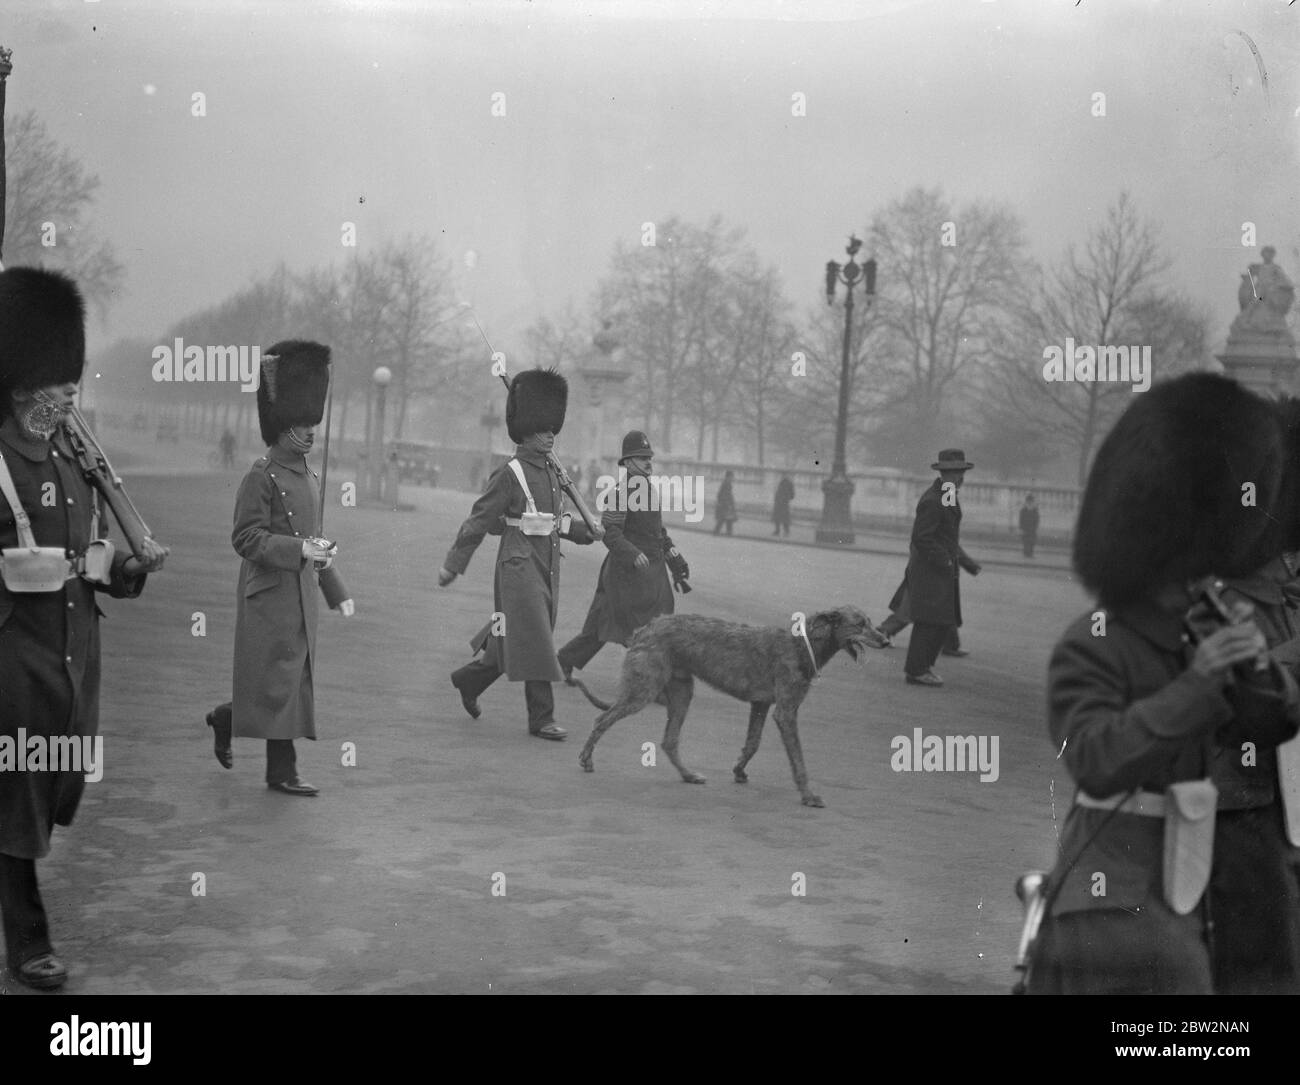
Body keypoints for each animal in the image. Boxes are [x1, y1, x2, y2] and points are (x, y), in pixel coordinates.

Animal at [577, 605, 889, 800]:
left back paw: (689, 775)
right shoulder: (786, 711)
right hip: (642, 691)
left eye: (870, 622)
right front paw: (808, 795)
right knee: (602, 719)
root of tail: (645, 628)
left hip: (681, 692)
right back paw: (587, 759)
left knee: (669, 740)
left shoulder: (761, 705)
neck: (803, 645)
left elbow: (753, 743)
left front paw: (739, 770)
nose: (887, 641)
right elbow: (798, 758)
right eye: (860, 624)